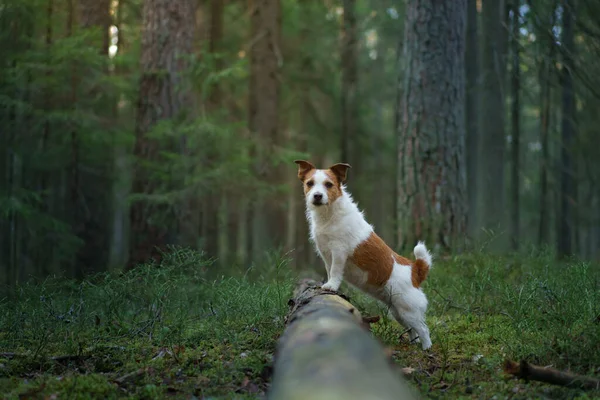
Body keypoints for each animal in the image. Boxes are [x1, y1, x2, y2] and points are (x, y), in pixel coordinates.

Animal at [294, 159, 432, 350]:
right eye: (310, 183)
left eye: (328, 184)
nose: (317, 196)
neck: (329, 214)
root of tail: (415, 270)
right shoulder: (325, 253)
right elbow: (329, 270)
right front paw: (328, 284)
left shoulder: (338, 251)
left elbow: (335, 271)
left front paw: (331, 286)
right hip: (398, 312)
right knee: (412, 330)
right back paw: (413, 345)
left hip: (408, 309)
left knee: (424, 330)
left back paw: (426, 349)